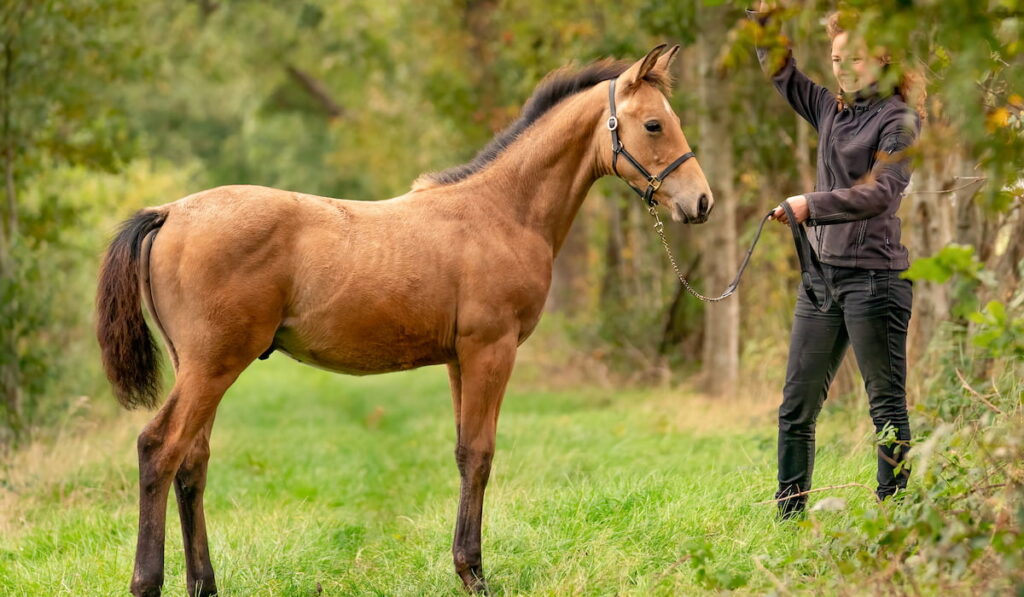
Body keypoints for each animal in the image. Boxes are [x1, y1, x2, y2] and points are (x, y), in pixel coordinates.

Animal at [97, 44, 712, 593]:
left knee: (192, 462)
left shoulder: (461, 359)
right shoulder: (492, 349)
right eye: (654, 124)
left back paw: (205, 584)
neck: (500, 211)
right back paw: (146, 582)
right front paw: (474, 575)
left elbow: (464, 452)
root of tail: (170, 212)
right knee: (159, 449)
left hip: (199, 366)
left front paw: (467, 568)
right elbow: (481, 454)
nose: (701, 203)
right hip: (214, 364)